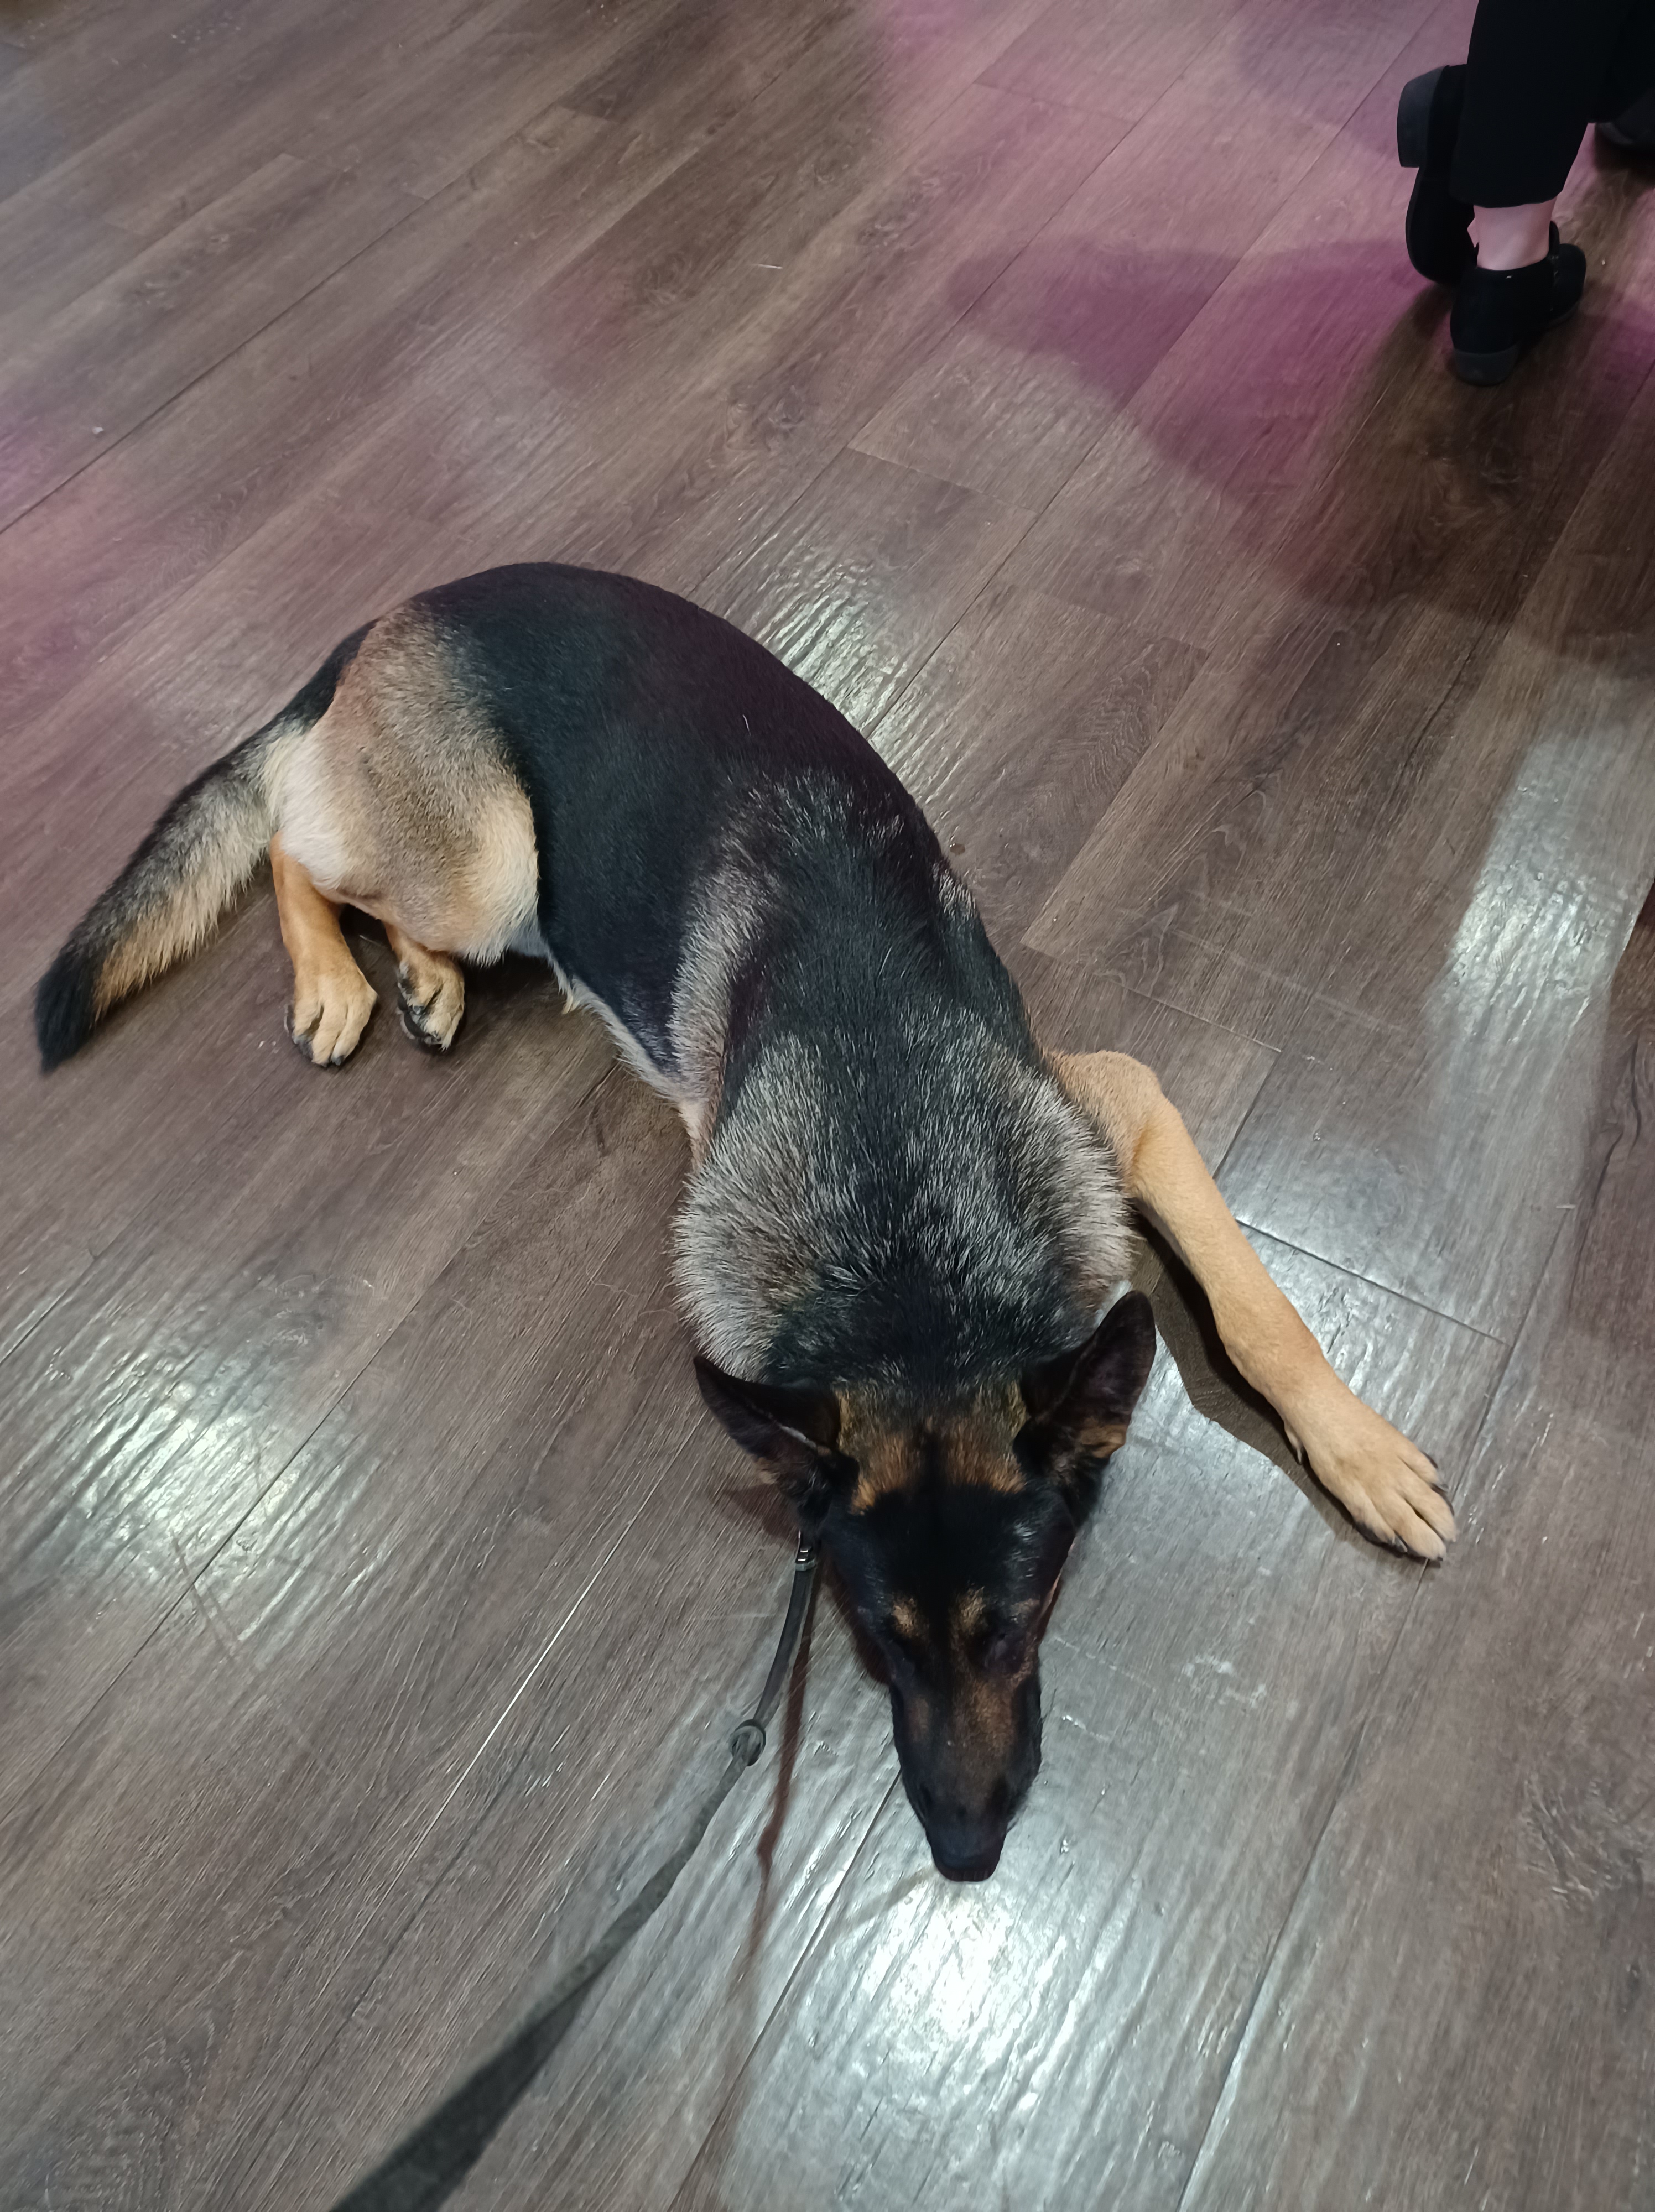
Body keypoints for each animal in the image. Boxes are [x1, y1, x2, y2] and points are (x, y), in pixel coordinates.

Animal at [36, 563, 1454, 1880]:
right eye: (876, 1638)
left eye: (1010, 1625)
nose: (964, 1852)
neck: (908, 1260)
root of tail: (405, 609)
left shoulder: (1123, 1101)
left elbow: (1260, 1310)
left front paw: (1358, 1449)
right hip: (488, 864)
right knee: (291, 840)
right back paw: (338, 979)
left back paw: (419, 983)